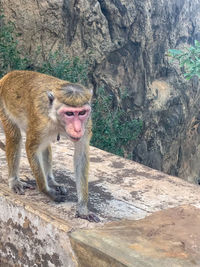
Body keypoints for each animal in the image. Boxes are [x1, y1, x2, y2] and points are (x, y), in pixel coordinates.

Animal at [0, 70, 99, 223]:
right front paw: (46, 191)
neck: (57, 119)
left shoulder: (87, 123)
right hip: (3, 106)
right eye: (69, 113)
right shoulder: (41, 122)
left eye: (82, 112)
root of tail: (9, 75)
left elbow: (81, 156)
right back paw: (15, 181)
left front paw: (83, 207)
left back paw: (51, 181)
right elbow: (31, 148)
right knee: (14, 136)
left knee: (45, 146)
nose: (78, 129)